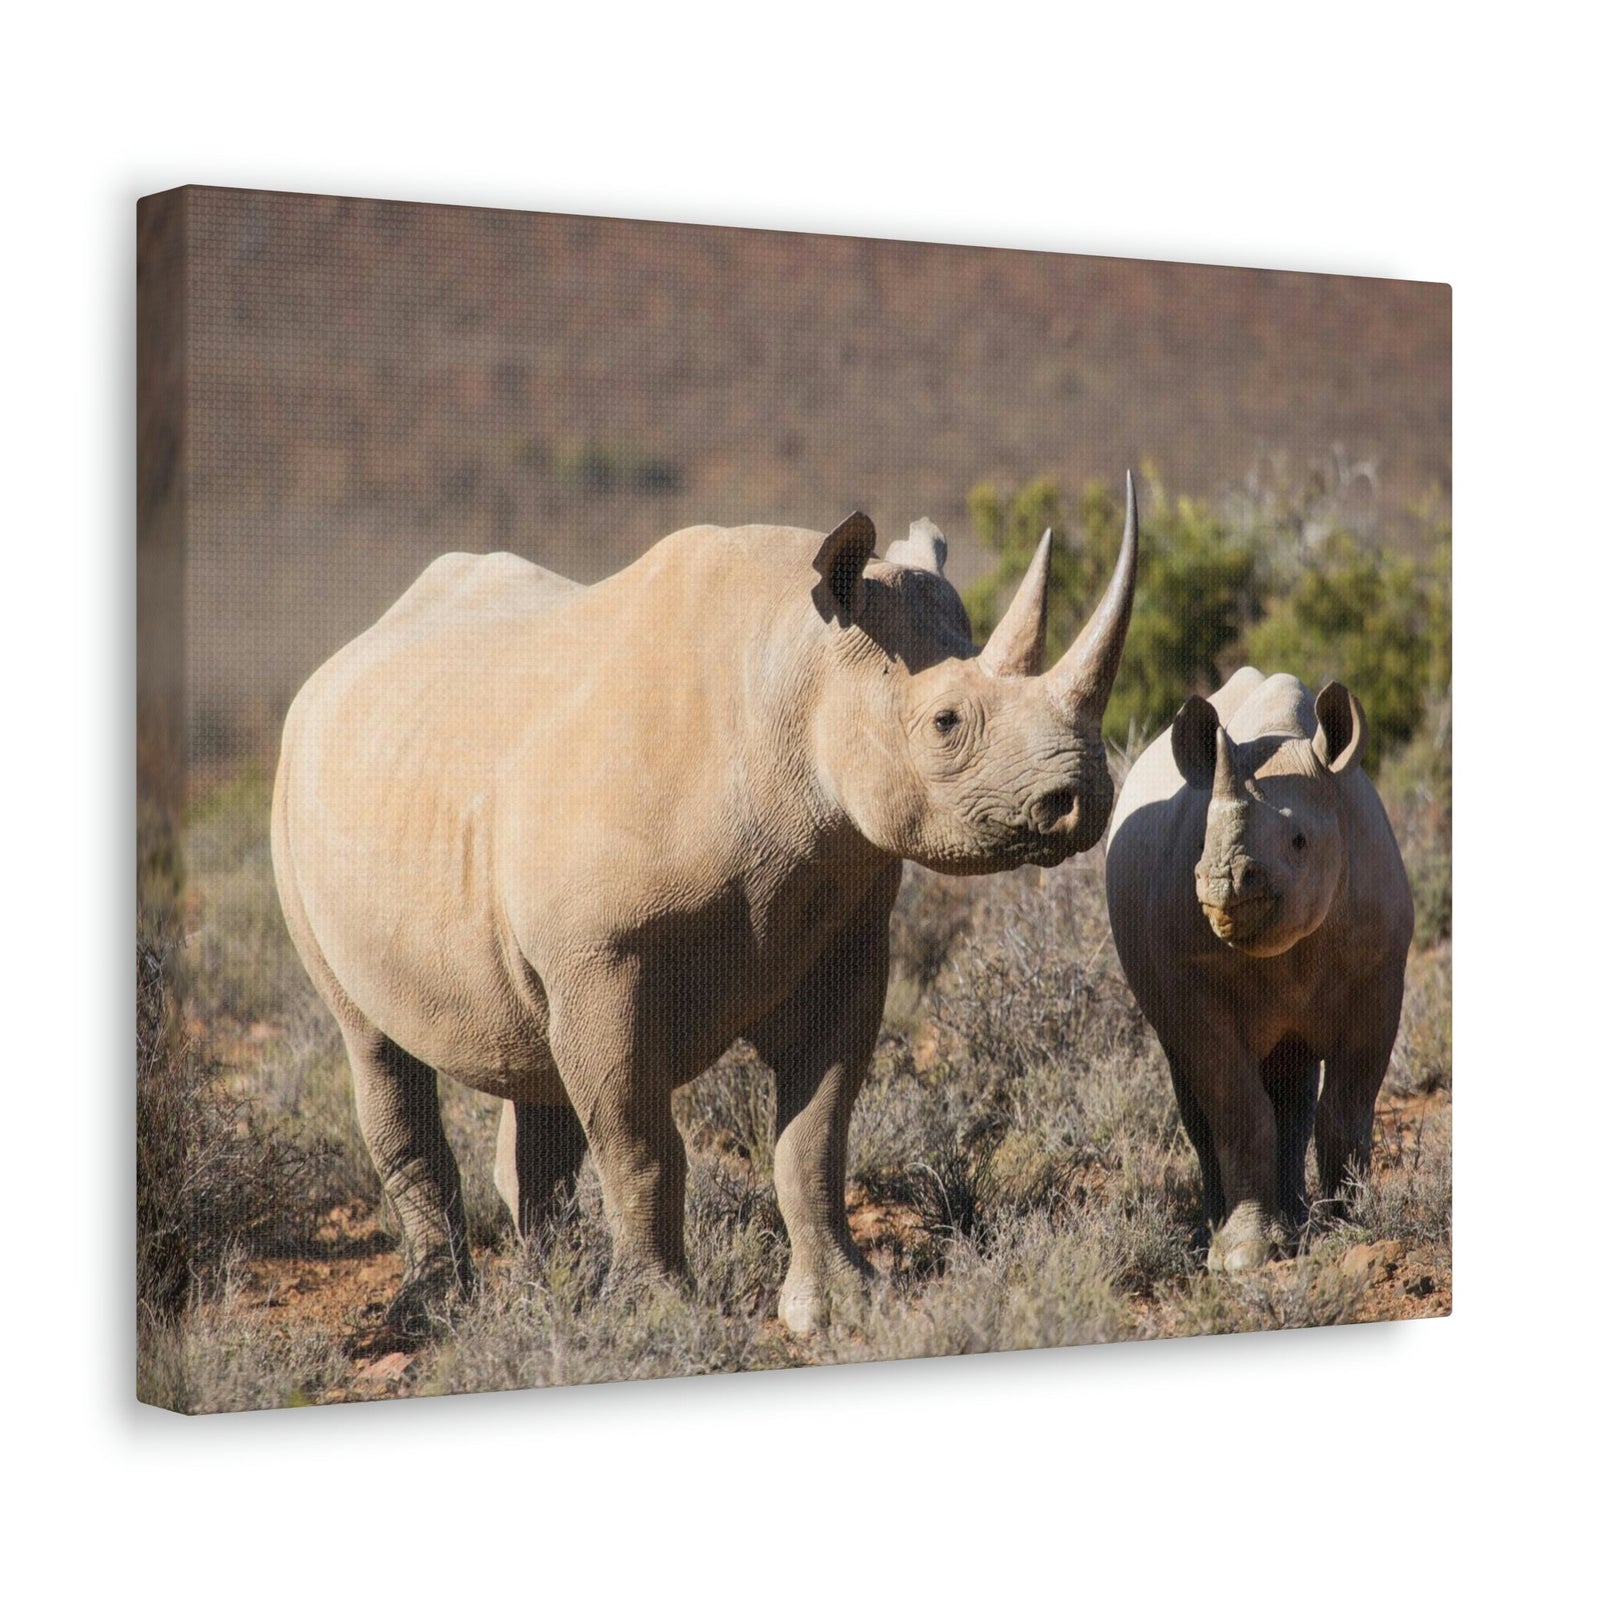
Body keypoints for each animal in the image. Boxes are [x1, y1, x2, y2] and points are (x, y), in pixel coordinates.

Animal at [272, 480, 1138, 1333]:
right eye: (946, 723)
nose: (1083, 798)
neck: (797, 676)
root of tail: (340, 660)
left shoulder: (846, 931)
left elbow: (815, 1135)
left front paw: (840, 1306)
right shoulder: (603, 959)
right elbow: (641, 1144)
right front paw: (655, 1316)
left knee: (530, 1056)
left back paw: (552, 1291)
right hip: (298, 800)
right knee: (371, 1040)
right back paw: (433, 1311)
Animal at [1104, 667, 1413, 1271]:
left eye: (1299, 841)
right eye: (1202, 840)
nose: (1222, 881)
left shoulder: (1380, 976)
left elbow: (1348, 1106)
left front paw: (1351, 1227)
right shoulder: (1190, 987)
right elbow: (1238, 1110)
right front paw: (1245, 1257)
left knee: (1293, 1081)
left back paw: (1297, 1224)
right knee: (1198, 1091)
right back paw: (1217, 1236)